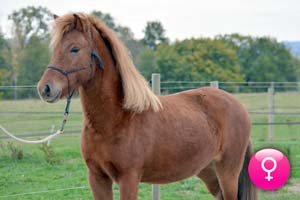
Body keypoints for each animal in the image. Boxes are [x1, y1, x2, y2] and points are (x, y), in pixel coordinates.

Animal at [37, 12, 256, 200]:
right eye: (55, 49)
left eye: (74, 48)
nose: (45, 88)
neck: (117, 119)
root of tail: (238, 105)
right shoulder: (97, 178)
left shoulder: (129, 179)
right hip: (209, 172)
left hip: (228, 172)